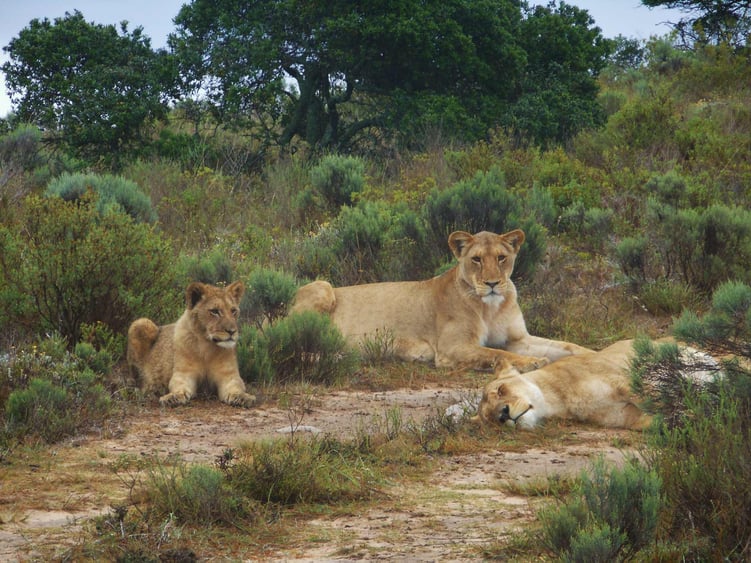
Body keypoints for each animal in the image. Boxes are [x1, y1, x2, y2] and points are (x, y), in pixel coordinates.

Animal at [290, 229, 592, 374]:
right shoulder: (452, 348)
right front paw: (531, 362)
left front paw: (594, 354)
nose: (492, 283)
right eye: (477, 259)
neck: (491, 307)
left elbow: (566, 345)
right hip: (323, 286)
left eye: (501, 258)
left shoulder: (517, 338)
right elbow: (496, 354)